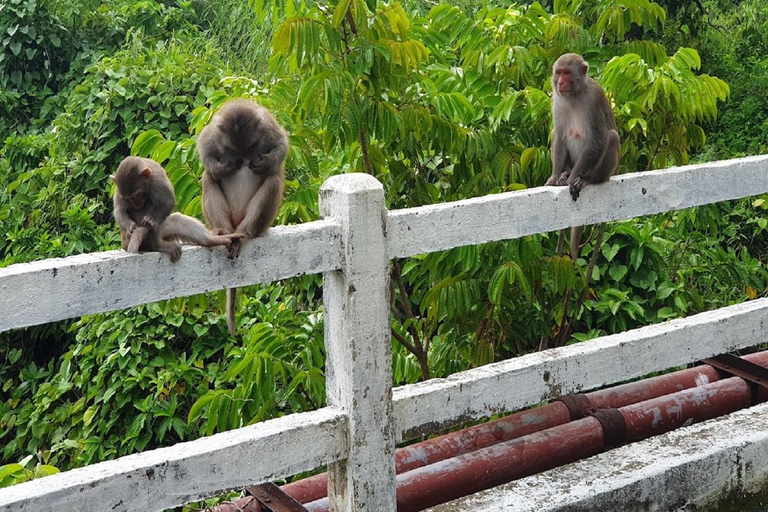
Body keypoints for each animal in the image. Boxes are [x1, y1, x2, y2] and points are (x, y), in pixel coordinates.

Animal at [112, 156, 243, 262]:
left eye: (138, 195)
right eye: (129, 198)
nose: (136, 203)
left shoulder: (157, 179)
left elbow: (168, 202)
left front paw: (150, 220)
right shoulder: (119, 190)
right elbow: (119, 211)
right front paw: (130, 226)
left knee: (175, 218)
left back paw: (212, 240)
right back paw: (156, 245)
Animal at [197, 99, 288, 334]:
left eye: (249, 148)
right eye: (231, 149)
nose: (242, 158)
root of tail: (235, 224)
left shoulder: (267, 126)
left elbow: (282, 144)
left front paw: (266, 163)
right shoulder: (214, 133)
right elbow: (203, 149)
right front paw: (221, 168)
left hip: (260, 221)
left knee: (273, 180)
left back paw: (245, 234)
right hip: (228, 218)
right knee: (207, 176)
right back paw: (223, 232)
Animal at [546, 53, 620, 259]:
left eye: (567, 73)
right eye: (559, 72)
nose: (560, 82)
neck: (574, 96)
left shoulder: (592, 100)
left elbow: (597, 139)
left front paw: (572, 180)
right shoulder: (558, 100)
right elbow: (560, 136)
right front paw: (556, 178)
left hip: (603, 171)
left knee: (612, 136)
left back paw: (587, 179)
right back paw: (564, 174)